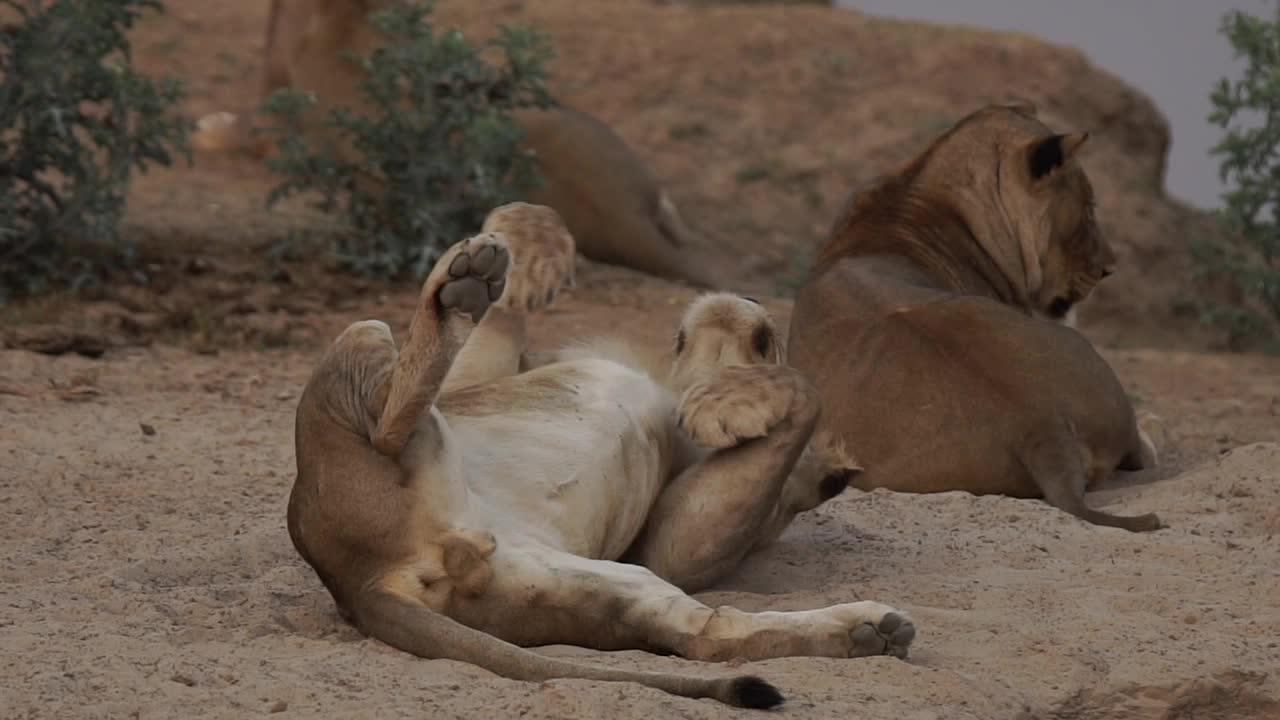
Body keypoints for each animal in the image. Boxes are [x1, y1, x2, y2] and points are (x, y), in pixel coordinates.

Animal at [288, 202, 911, 707]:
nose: (754, 303)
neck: (672, 380)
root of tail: (363, 582)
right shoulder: (474, 387)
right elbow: (490, 340)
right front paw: (527, 232)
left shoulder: (664, 546)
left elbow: (808, 389)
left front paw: (733, 401)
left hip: (591, 583)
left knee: (704, 634)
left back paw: (868, 630)